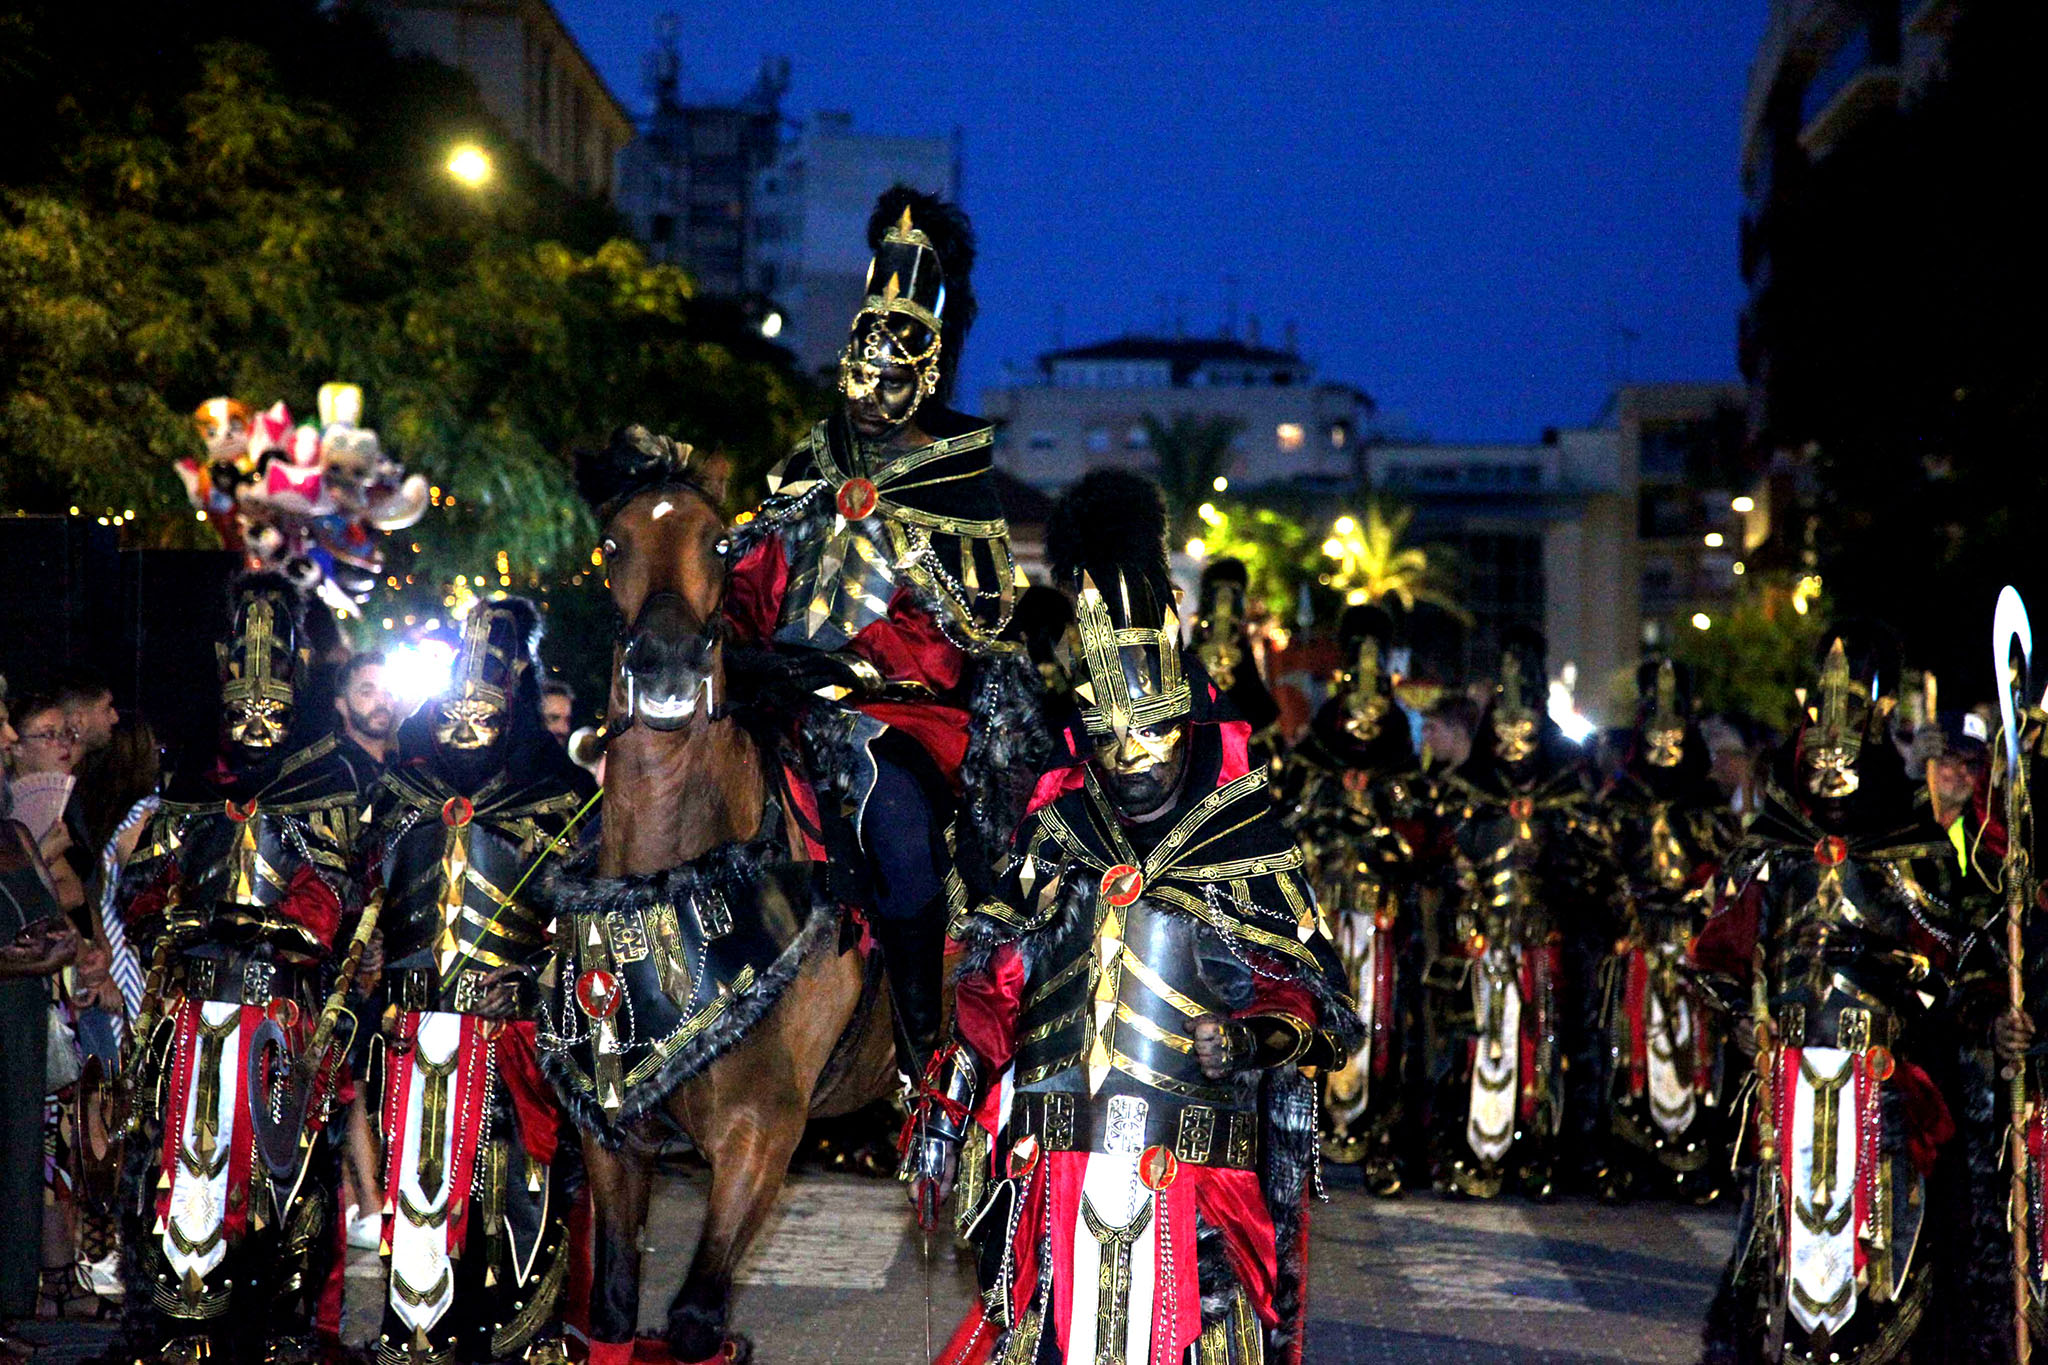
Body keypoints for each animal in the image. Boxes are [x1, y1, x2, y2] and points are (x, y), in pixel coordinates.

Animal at [577, 450, 897, 1365]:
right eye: (611, 542)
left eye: (720, 542)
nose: (667, 666)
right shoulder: (615, 1138)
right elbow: (614, 1314)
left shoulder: (761, 1133)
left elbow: (694, 1320)